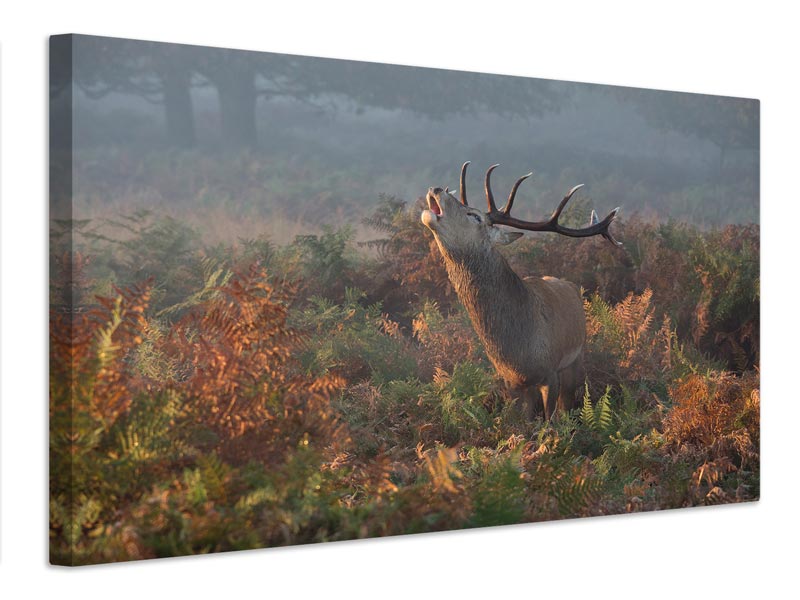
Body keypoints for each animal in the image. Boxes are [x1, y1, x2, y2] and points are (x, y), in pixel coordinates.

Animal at [422, 162, 620, 420]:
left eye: (474, 215)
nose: (436, 189)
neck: (518, 349)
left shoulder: (551, 372)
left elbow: (550, 421)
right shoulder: (511, 382)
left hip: (576, 359)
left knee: (567, 404)